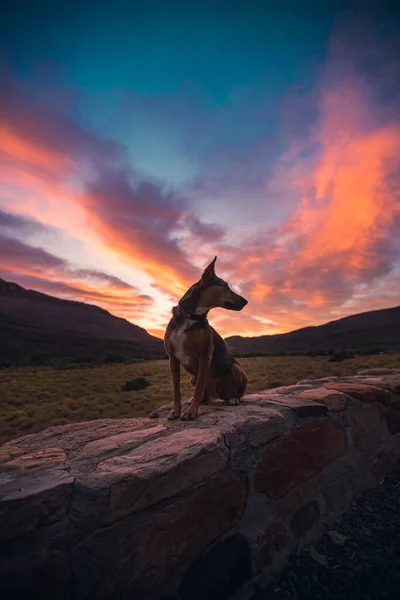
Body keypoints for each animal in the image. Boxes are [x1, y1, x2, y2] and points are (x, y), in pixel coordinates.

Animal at [164, 255, 248, 420]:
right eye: (225, 286)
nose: (246, 301)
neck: (191, 316)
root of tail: (219, 395)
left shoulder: (204, 355)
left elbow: (199, 388)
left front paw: (191, 413)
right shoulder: (172, 358)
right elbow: (176, 390)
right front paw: (175, 411)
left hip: (237, 370)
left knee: (236, 393)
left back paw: (233, 399)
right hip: (192, 377)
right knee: (205, 394)